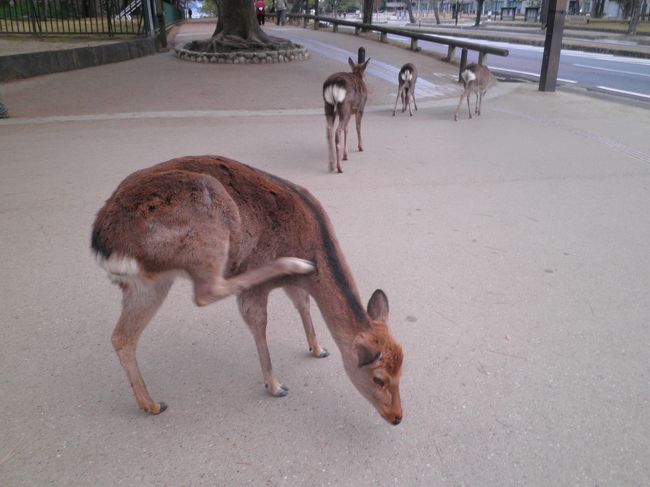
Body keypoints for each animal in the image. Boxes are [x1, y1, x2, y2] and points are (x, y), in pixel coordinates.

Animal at [91, 155, 404, 425]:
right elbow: (259, 322)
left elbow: (302, 303)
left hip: (147, 282)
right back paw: (291, 262)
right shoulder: (260, 291)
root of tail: (103, 241)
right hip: (210, 228)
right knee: (205, 292)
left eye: (403, 367)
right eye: (378, 378)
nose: (397, 417)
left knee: (122, 336)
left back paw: (151, 403)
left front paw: (318, 349)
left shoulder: (294, 287)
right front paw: (275, 386)